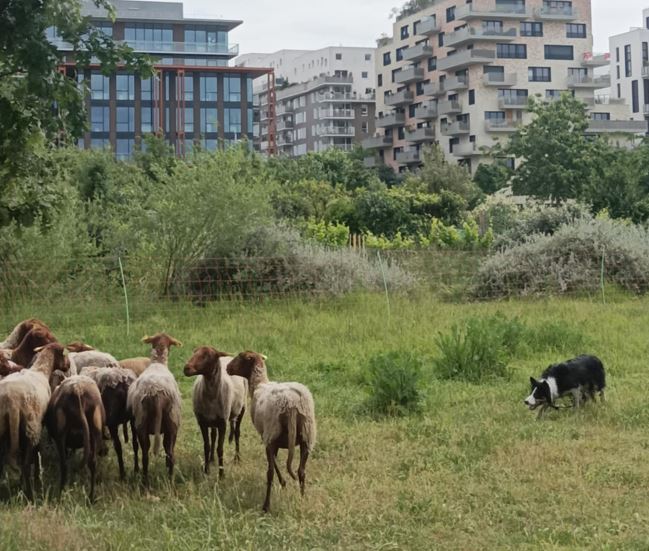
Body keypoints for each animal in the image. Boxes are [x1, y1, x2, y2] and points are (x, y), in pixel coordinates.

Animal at [0, 342, 69, 500]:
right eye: (65, 355)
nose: (68, 367)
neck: (41, 370)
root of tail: (11, 401)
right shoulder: (39, 423)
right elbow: (37, 451)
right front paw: (38, 478)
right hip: (31, 426)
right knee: (25, 465)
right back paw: (30, 495)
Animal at [127, 333, 183, 485]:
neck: (158, 363)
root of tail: (156, 391)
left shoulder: (134, 423)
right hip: (172, 424)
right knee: (170, 454)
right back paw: (169, 482)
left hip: (142, 423)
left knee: (146, 455)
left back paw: (145, 482)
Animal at [184, 347, 247, 477]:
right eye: (194, 352)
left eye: (207, 355)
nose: (186, 368)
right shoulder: (202, 421)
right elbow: (207, 446)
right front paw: (206, 470)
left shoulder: (223, 422)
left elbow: (220, 448)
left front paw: (221, 474)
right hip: (213, 420)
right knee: (213, 436)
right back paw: (212, 459)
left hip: (242, 407)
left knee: (237, 432)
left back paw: (237, 458)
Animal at [226, 352, 316, 513]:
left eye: (240, 357)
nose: (227, 368)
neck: (259, 383)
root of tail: (291, 404)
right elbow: (276, 460)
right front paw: (284, 483)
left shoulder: (267, 438)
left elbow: (273, 463)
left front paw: (283, 482)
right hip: (307, 435)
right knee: (301, 471)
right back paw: (302, 499)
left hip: (272, 431)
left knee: (270, 473)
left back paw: (266, 506)